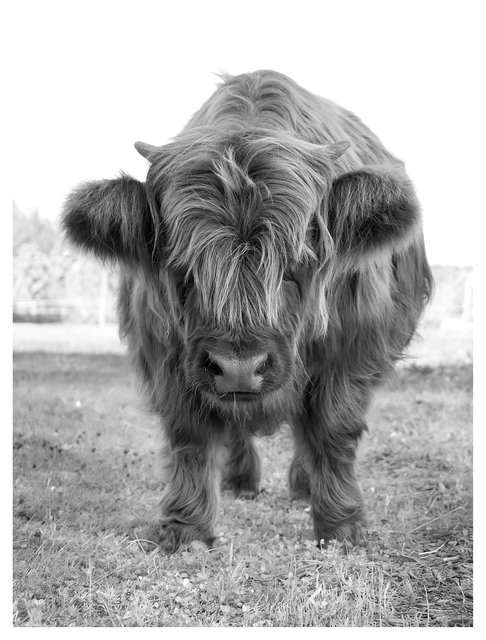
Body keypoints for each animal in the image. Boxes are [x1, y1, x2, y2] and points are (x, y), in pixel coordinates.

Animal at [62, 70, 432, 554]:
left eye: (296, 264)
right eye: (183, 268)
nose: (239, 367)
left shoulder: (354, 349)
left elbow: (333, 429)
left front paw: (341, 527)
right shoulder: (164, 354)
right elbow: (190, 436)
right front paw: (186, 528)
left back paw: (303, 485)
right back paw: (240, 480)